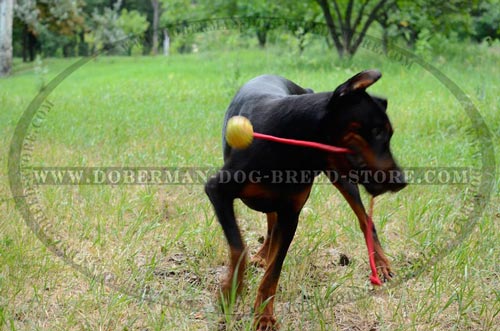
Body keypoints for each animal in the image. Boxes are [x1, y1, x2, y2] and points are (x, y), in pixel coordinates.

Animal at [205, 69, 408, 330]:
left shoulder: (291, 215)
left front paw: (264, 316)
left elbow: (274, 271)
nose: (401, 180)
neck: (291, 143)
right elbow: (239, 249)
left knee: (365, 220)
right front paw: (231, 292)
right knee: (270, 220)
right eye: (377, 131)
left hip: (340, 176)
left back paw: (381, 265)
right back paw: (262, 254)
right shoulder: (217, 191)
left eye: (388, 133)